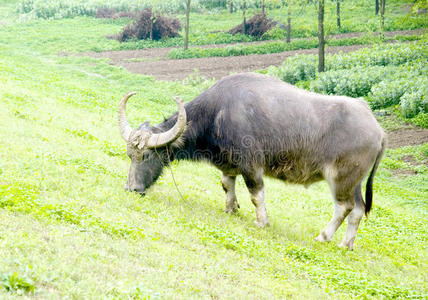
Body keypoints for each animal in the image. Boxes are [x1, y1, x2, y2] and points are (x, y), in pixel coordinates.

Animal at [118, 72, 386, 248]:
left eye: (146, 155)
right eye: (130, 155)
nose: (131, 188)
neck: (218, 113)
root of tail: (378, 130)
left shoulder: (251, 166)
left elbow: (257, 195)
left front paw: (261, 222)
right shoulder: (229, 164)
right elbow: (227, 184)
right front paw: (231, 208)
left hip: (341, 179)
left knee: (344, 207)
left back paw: (323, 236)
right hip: (355, 183)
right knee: (358, 210)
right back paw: (345, 244)